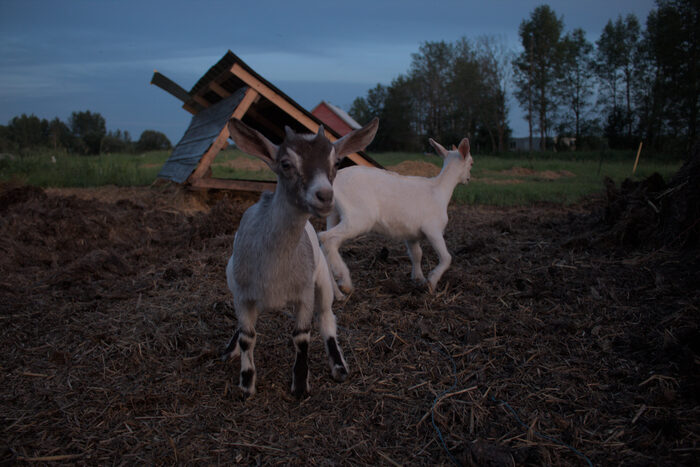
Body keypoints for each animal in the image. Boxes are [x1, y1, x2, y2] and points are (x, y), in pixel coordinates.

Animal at [221, 117, 379, 398]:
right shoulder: (241, 294)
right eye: (286, 164)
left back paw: (339, 366)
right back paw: (231, 350)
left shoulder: (304, 292)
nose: (325, 196)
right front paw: (247, 383)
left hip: (322, 279)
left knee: (326, 318)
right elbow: (247, 335)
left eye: (336, 163)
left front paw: (300, 385)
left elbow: (302, 336)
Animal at [319, 138, 473, 295]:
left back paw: (335, 289)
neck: (439, 190)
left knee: (325, 243)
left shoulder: (411, 234)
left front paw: (418, 279)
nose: (468, 179)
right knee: (327, 238)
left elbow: (417, 254)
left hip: (334, 214)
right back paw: (345, 283)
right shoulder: (433, 229)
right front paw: (431, 282)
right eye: (471, 163)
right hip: (358, 217)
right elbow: (446, 257)